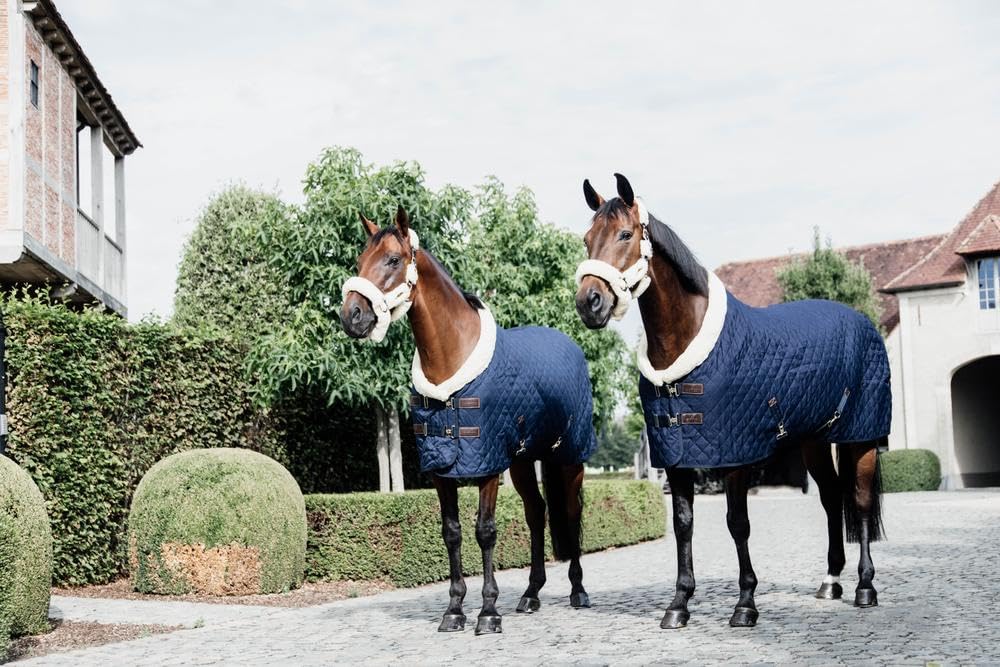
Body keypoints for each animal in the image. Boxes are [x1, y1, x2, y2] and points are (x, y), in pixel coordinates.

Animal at [341, 206, 598, 635]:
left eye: (392, 260)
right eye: (359, 261)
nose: (351, 316)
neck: (452, 363)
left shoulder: (488, 464)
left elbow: (485, 531)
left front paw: (488, 612)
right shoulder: (441, 469)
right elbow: (452, 533)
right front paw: (454, 610)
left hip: (569, 457)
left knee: (571, 512)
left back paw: (578, 591)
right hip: (523, 460)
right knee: (536, 512)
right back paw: (530, 594)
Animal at [574, 174, 889, 629]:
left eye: (625, 234)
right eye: (587, 239)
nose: (589, 302)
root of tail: (860, 321)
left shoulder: (736, 455)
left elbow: (737, 523)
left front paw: (745, 604)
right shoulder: (677, 456)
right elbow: (683, 524)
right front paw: (678, 604)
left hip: (860, 437)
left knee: (860, 502)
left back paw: (865, 587)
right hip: (813, 441)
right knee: (831, 497)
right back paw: (830, 581)